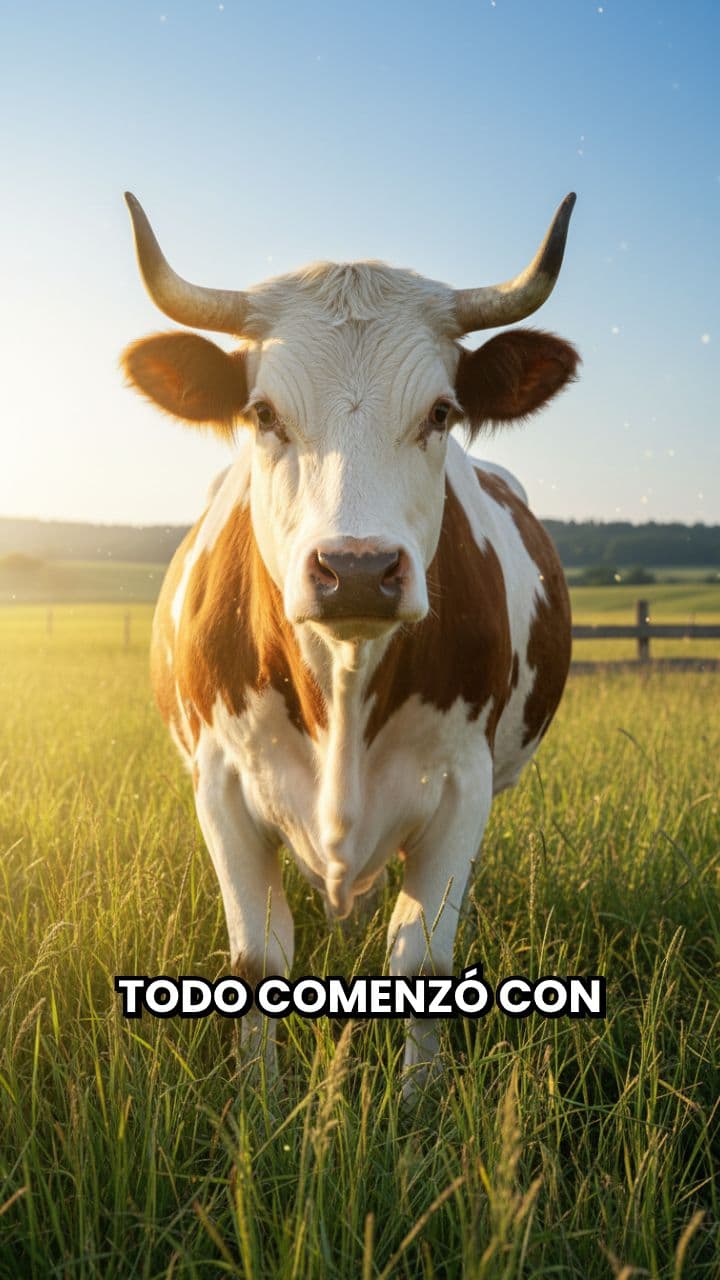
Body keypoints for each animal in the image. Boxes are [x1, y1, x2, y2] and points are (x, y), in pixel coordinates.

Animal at [121, 192, 579, 1097]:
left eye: (441, 412)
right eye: (262, 413)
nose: (358, 569)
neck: (343, 677)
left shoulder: (463, 785)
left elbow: (424, 963)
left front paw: (419, 1106)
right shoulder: (221, 785)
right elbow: (257, 964)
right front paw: (260, 1106)